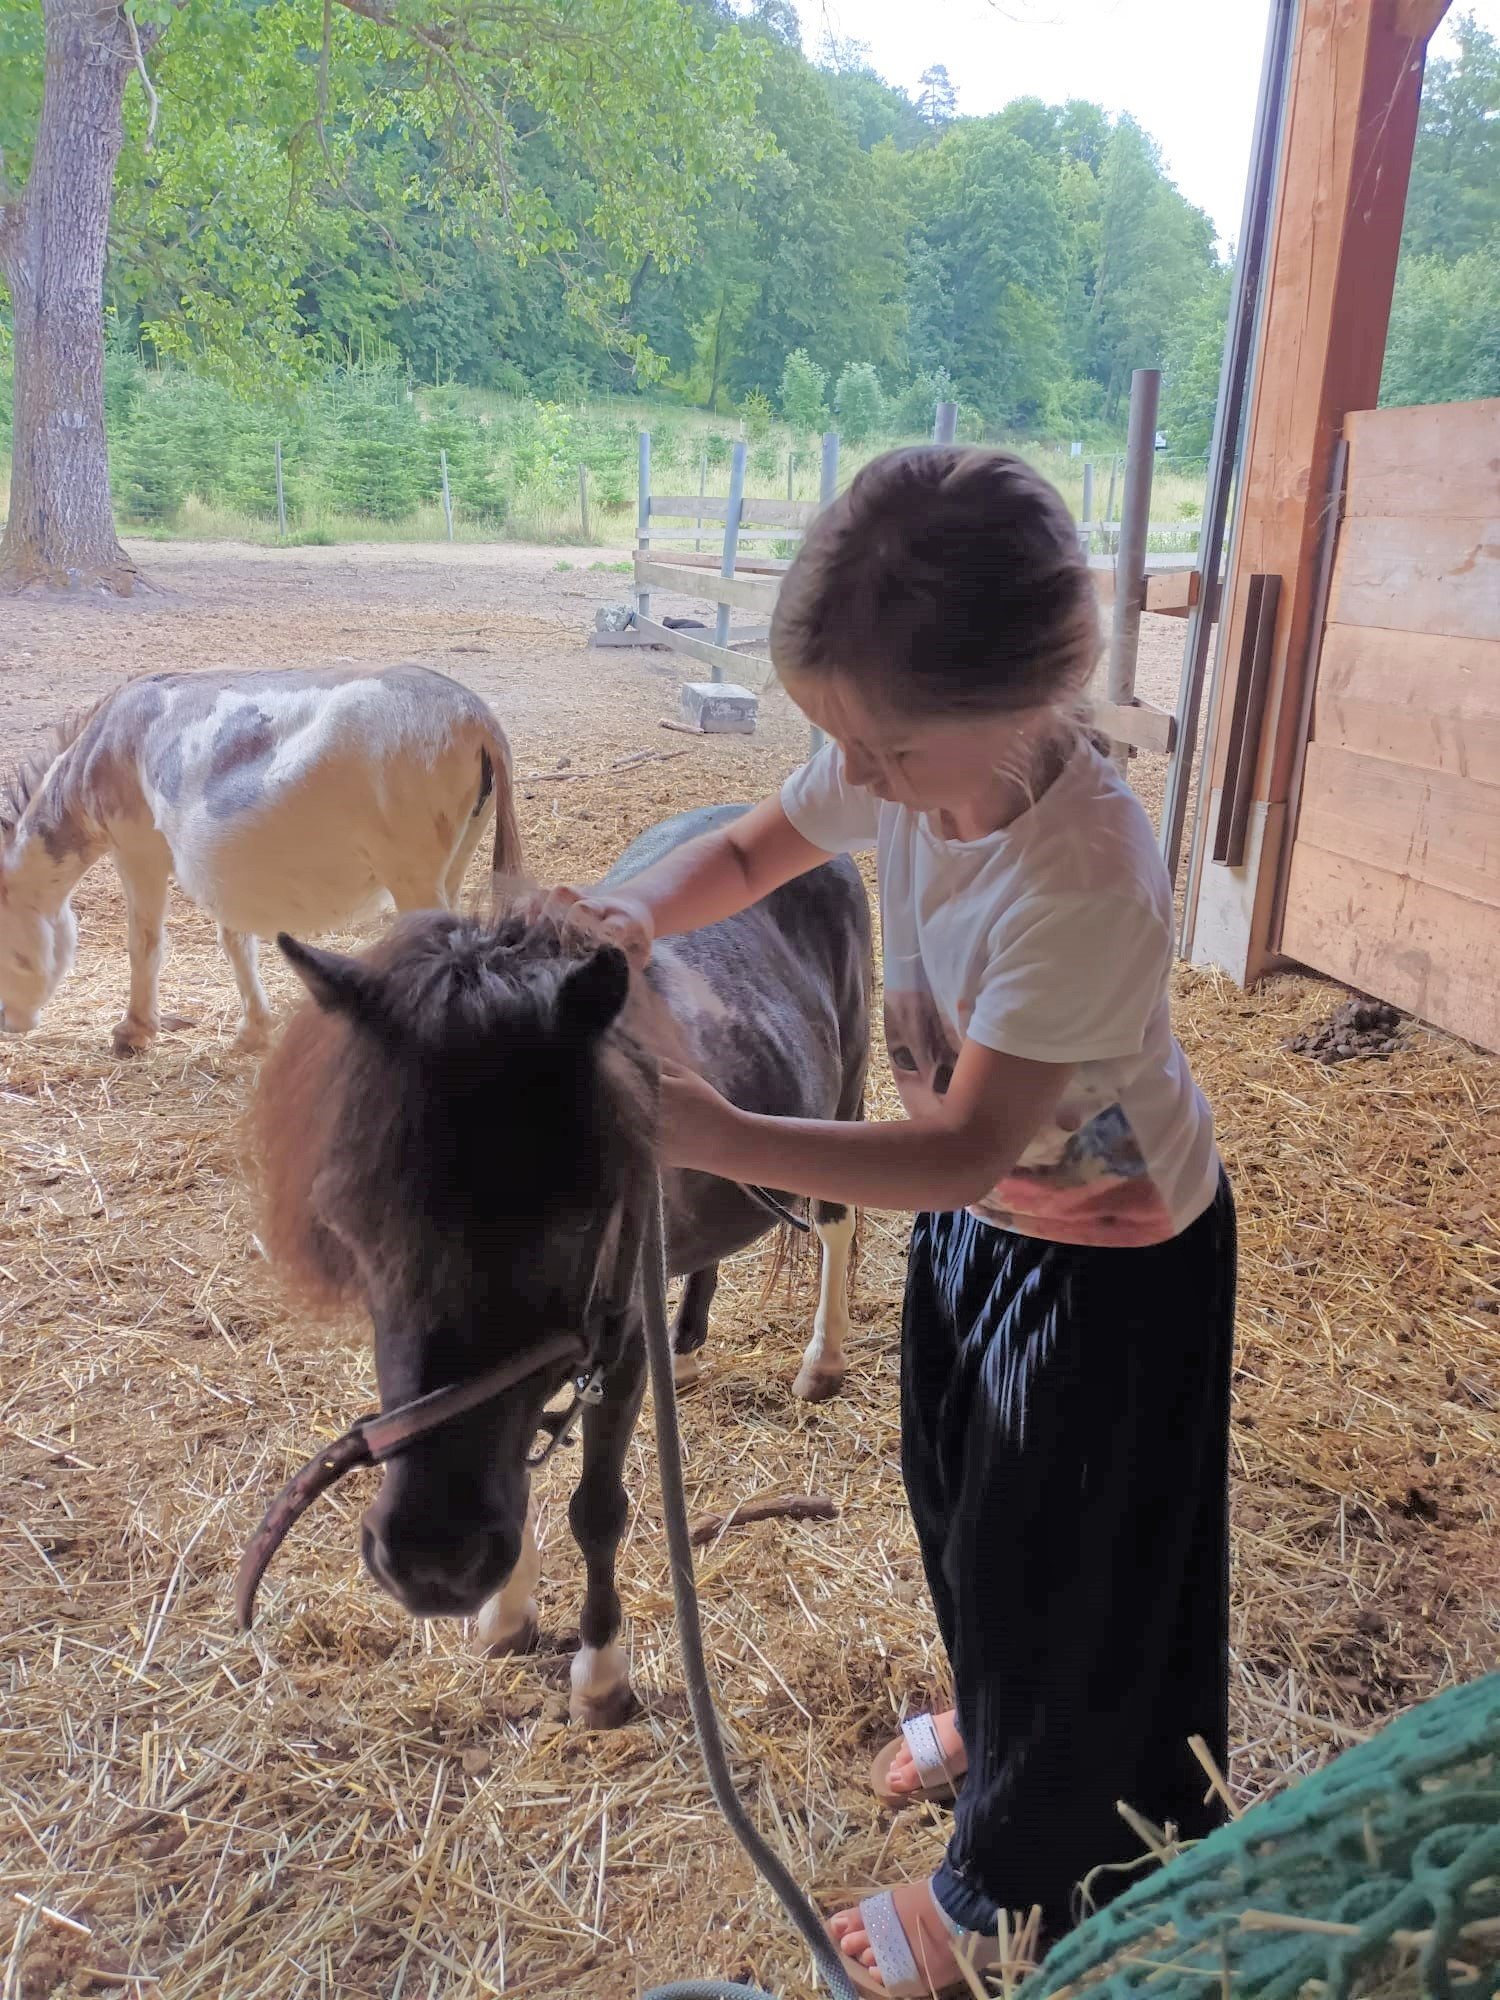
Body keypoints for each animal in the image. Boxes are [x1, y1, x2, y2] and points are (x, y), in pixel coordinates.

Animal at [0, 665, 520, 1055]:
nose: (8, 1024)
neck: (102, 745)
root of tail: (476, 714)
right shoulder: (226, 873)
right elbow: (235, 943)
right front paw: (254, 1032)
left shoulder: (138, 850)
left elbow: (144, 943)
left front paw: (134, 1033)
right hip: (452, 864)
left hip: (411, 875)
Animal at [245, 804, 871, 1726]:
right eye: (347, 1217)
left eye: (581, 1213)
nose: (435, 1561)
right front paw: (506, 1613)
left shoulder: (611, 1337)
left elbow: (596, 1508)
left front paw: (600, 1674)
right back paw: (690, 1345)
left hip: (846, 1089)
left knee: (834, 1220)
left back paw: (821, 1362)